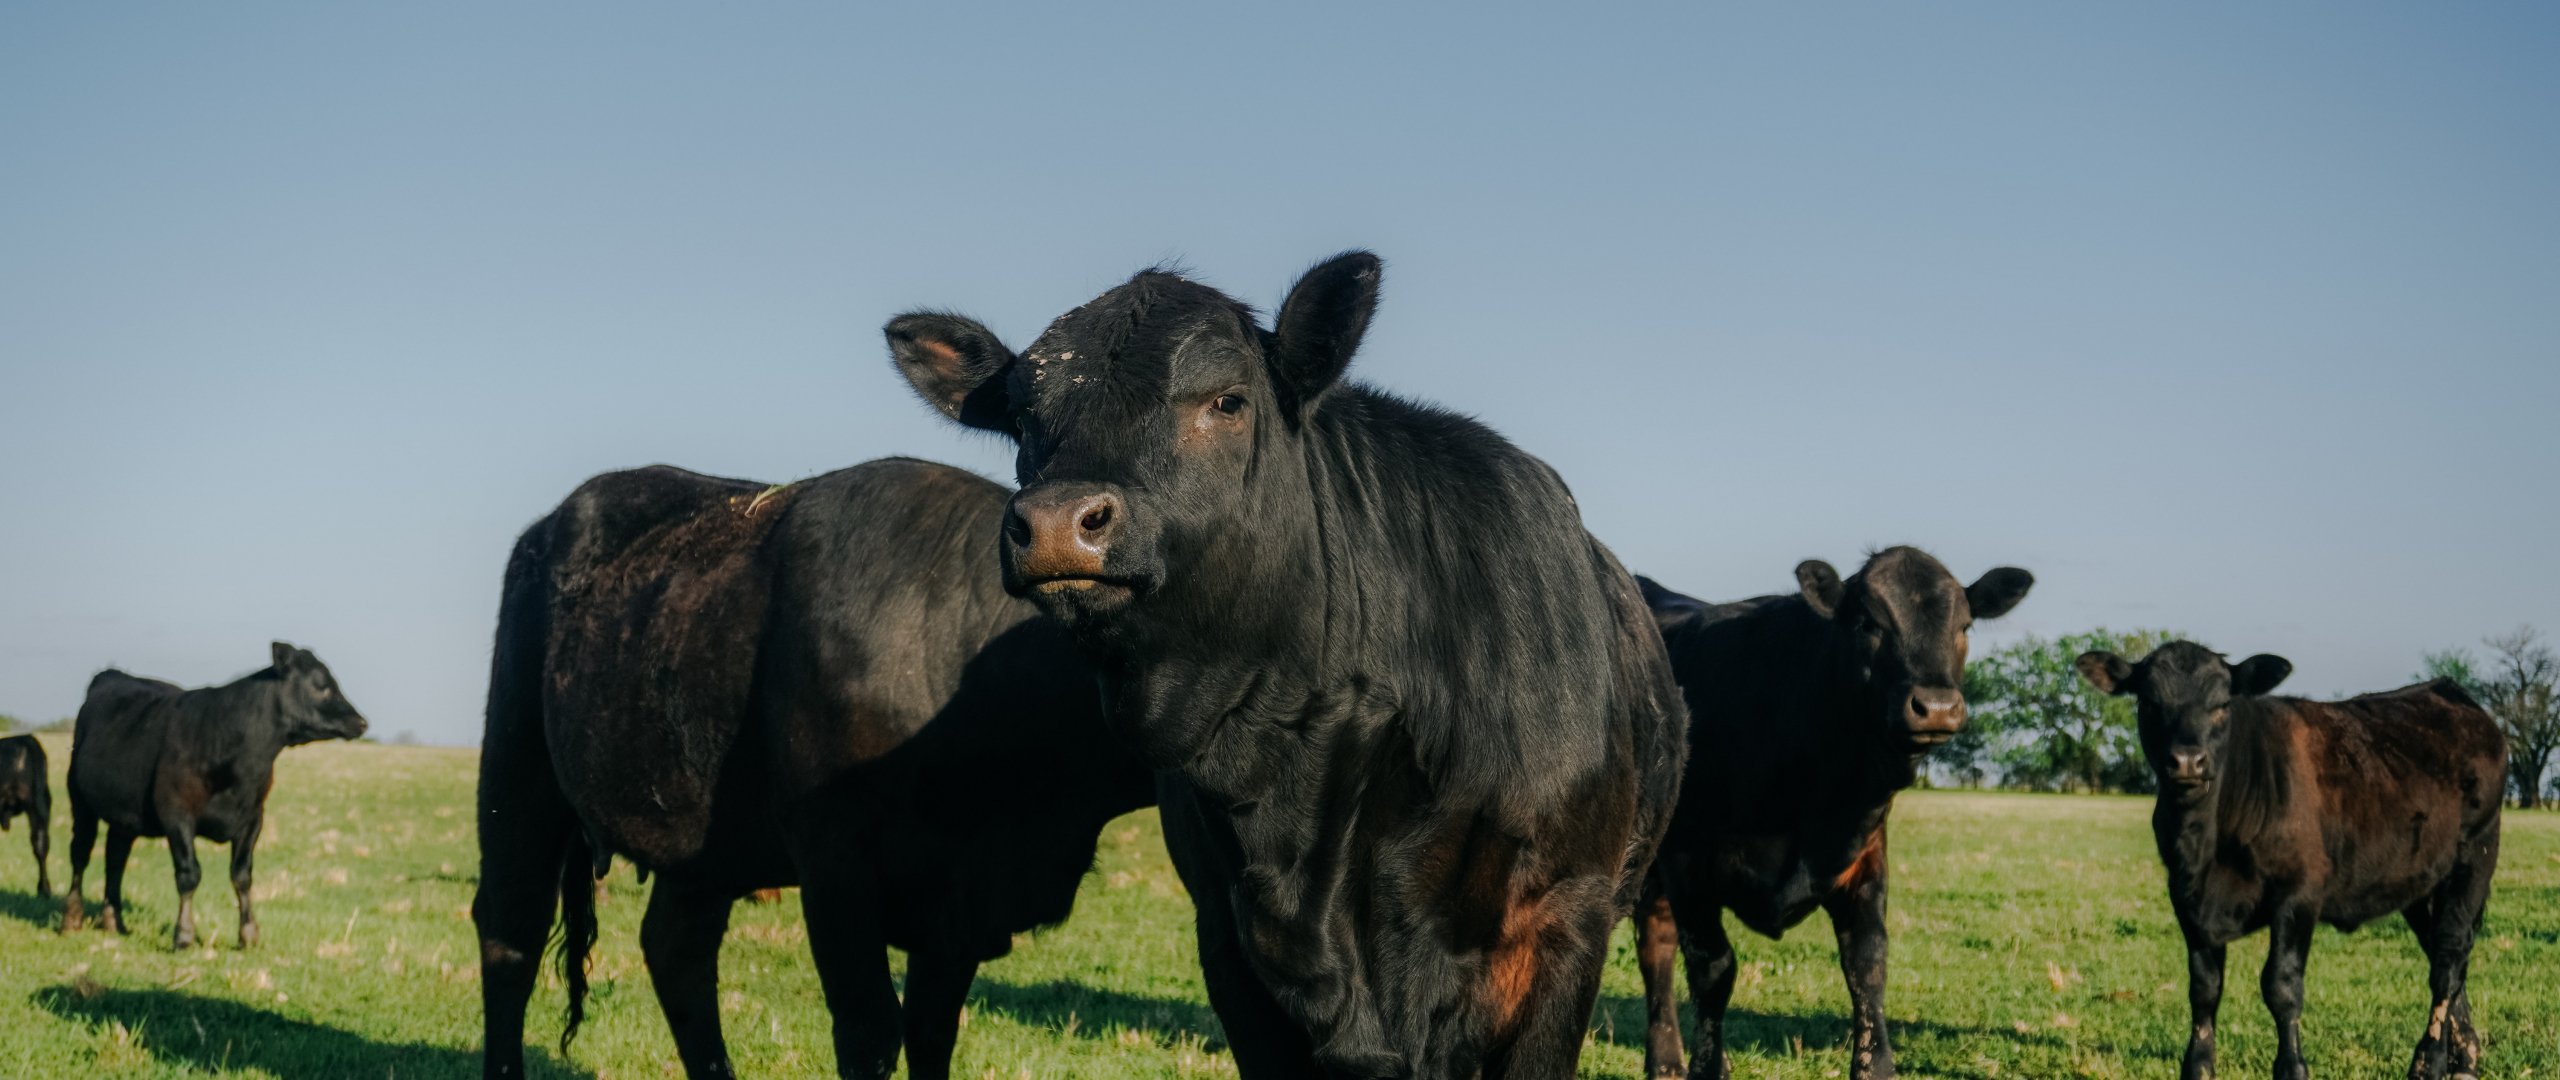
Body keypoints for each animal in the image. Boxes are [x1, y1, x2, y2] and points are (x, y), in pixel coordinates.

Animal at [61, 643, 369, 948]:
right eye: (321, 685)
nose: (361, 722)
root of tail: (112, 674)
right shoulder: (176, 814)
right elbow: (189, 874)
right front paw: (184, 934)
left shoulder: (253, 818)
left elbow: (242, 875)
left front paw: (248, 934)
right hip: (80, 801)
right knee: (80, 854)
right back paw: (71, 919)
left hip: (126, 817)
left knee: (115, 858)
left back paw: (114, 921)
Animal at [473, 458, 1155, 1080]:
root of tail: (544, 529)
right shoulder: (837, 870)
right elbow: (870, 1033)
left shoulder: (956, 906)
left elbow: (932, 1032)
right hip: (516, 770)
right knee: (511, 932)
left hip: (704, 838)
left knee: (675, 948)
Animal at [1632, 549, 2033, 1079]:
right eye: (1868, 623)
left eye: (1964, 626)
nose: (1937, 707)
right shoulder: (1686, 864)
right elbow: (1713, 970)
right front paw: (1708, 1067)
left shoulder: (1864, 857)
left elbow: (1868, 964)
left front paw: (1874, 1065)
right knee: (1655, 948)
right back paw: (1667, 1062)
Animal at [2076, 642, 2504, 1080]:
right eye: (2149, 701)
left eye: (2222, 704)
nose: (2187, 760)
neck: (2205, 842)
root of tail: (2448, 691)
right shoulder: (2186, 897)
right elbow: (2204, 988)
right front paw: (2198, 1066)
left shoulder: (2298, 893)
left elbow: (2281, 986)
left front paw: (2292, 1066)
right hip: (2418, 882)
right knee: (2446, 956)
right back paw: (2464, 1056)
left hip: (2475, 857)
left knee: (2448, 960)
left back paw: (2430, 1060)